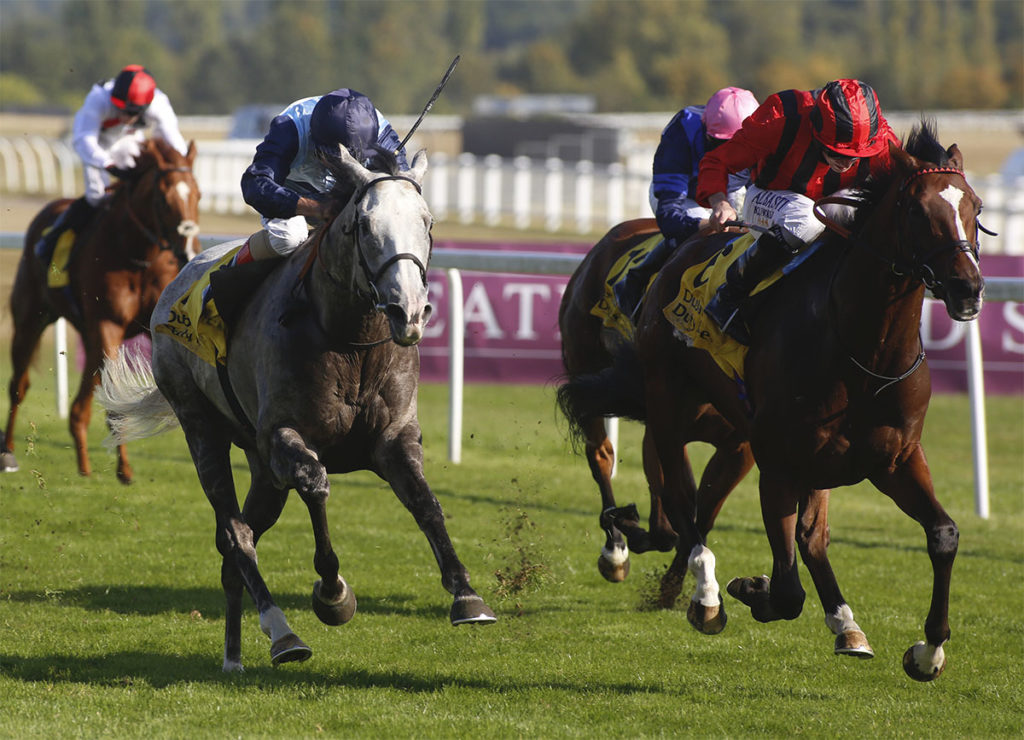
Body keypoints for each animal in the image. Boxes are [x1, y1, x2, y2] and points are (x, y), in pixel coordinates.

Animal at [1, 139, 199, 483]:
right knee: (18, 387)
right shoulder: (107, 324)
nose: (188, 249)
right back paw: (10, 453)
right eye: (164, 199)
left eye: (198, 195)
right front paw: (106, 466)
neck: (138, 256)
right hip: (30, 320)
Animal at [97, 144, 493, 671]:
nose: (408, 311)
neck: (350, 343)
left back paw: (233, 656)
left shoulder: (394, 437)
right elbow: (316, 485)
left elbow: (426, 503)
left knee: (235, 544)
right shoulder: (283, 436)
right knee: (237, 535)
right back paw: (282, 632)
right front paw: (332, 593)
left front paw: (466, 595)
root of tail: (175, 285)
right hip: (202, 427)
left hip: (263, 472)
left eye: (427, 222)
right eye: (363, 225)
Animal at [561, 122, 983, 683]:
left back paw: (844, 625)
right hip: (662, 401)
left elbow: (942, 535)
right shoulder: (775, 460)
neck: (860, 349)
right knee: (656, 487)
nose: (968, 288)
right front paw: (744, 589)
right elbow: (784, 589)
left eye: (975, 207)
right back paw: (683, 582)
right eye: (916, 211)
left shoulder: (893, 458)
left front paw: (928, 650)